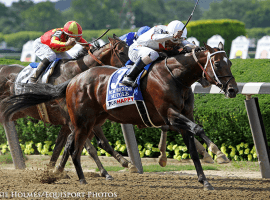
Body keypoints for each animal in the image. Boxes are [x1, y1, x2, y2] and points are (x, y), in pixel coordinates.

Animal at [1, 43, 238, 190]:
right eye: (217, 64)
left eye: (230, 63)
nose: (233, 90)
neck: (175, 78)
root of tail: (74, 80)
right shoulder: (170, 115)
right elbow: (198, 128)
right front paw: (218, 152)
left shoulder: (182, 118)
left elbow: (193, 148)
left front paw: (205, 180)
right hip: (81, 122)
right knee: (77, 149)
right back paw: (83, 180)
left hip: (93, 120)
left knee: (73, 145)